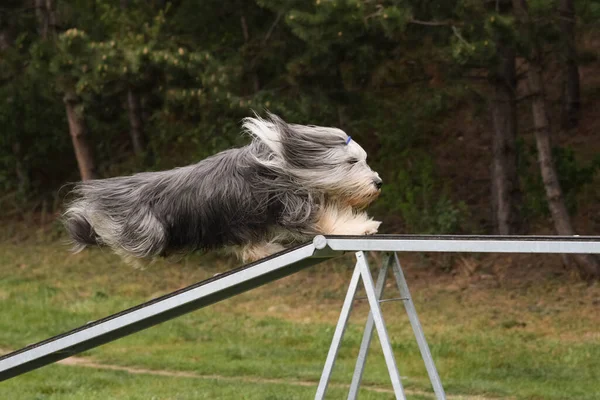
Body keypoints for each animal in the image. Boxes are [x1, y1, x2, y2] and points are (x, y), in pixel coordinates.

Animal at [63, 112, 382, 264]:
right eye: (352, 161)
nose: (378, 183)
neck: (281, 164)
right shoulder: (290, 205)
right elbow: (327, 220)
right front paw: (362, 227)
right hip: (147, 232)